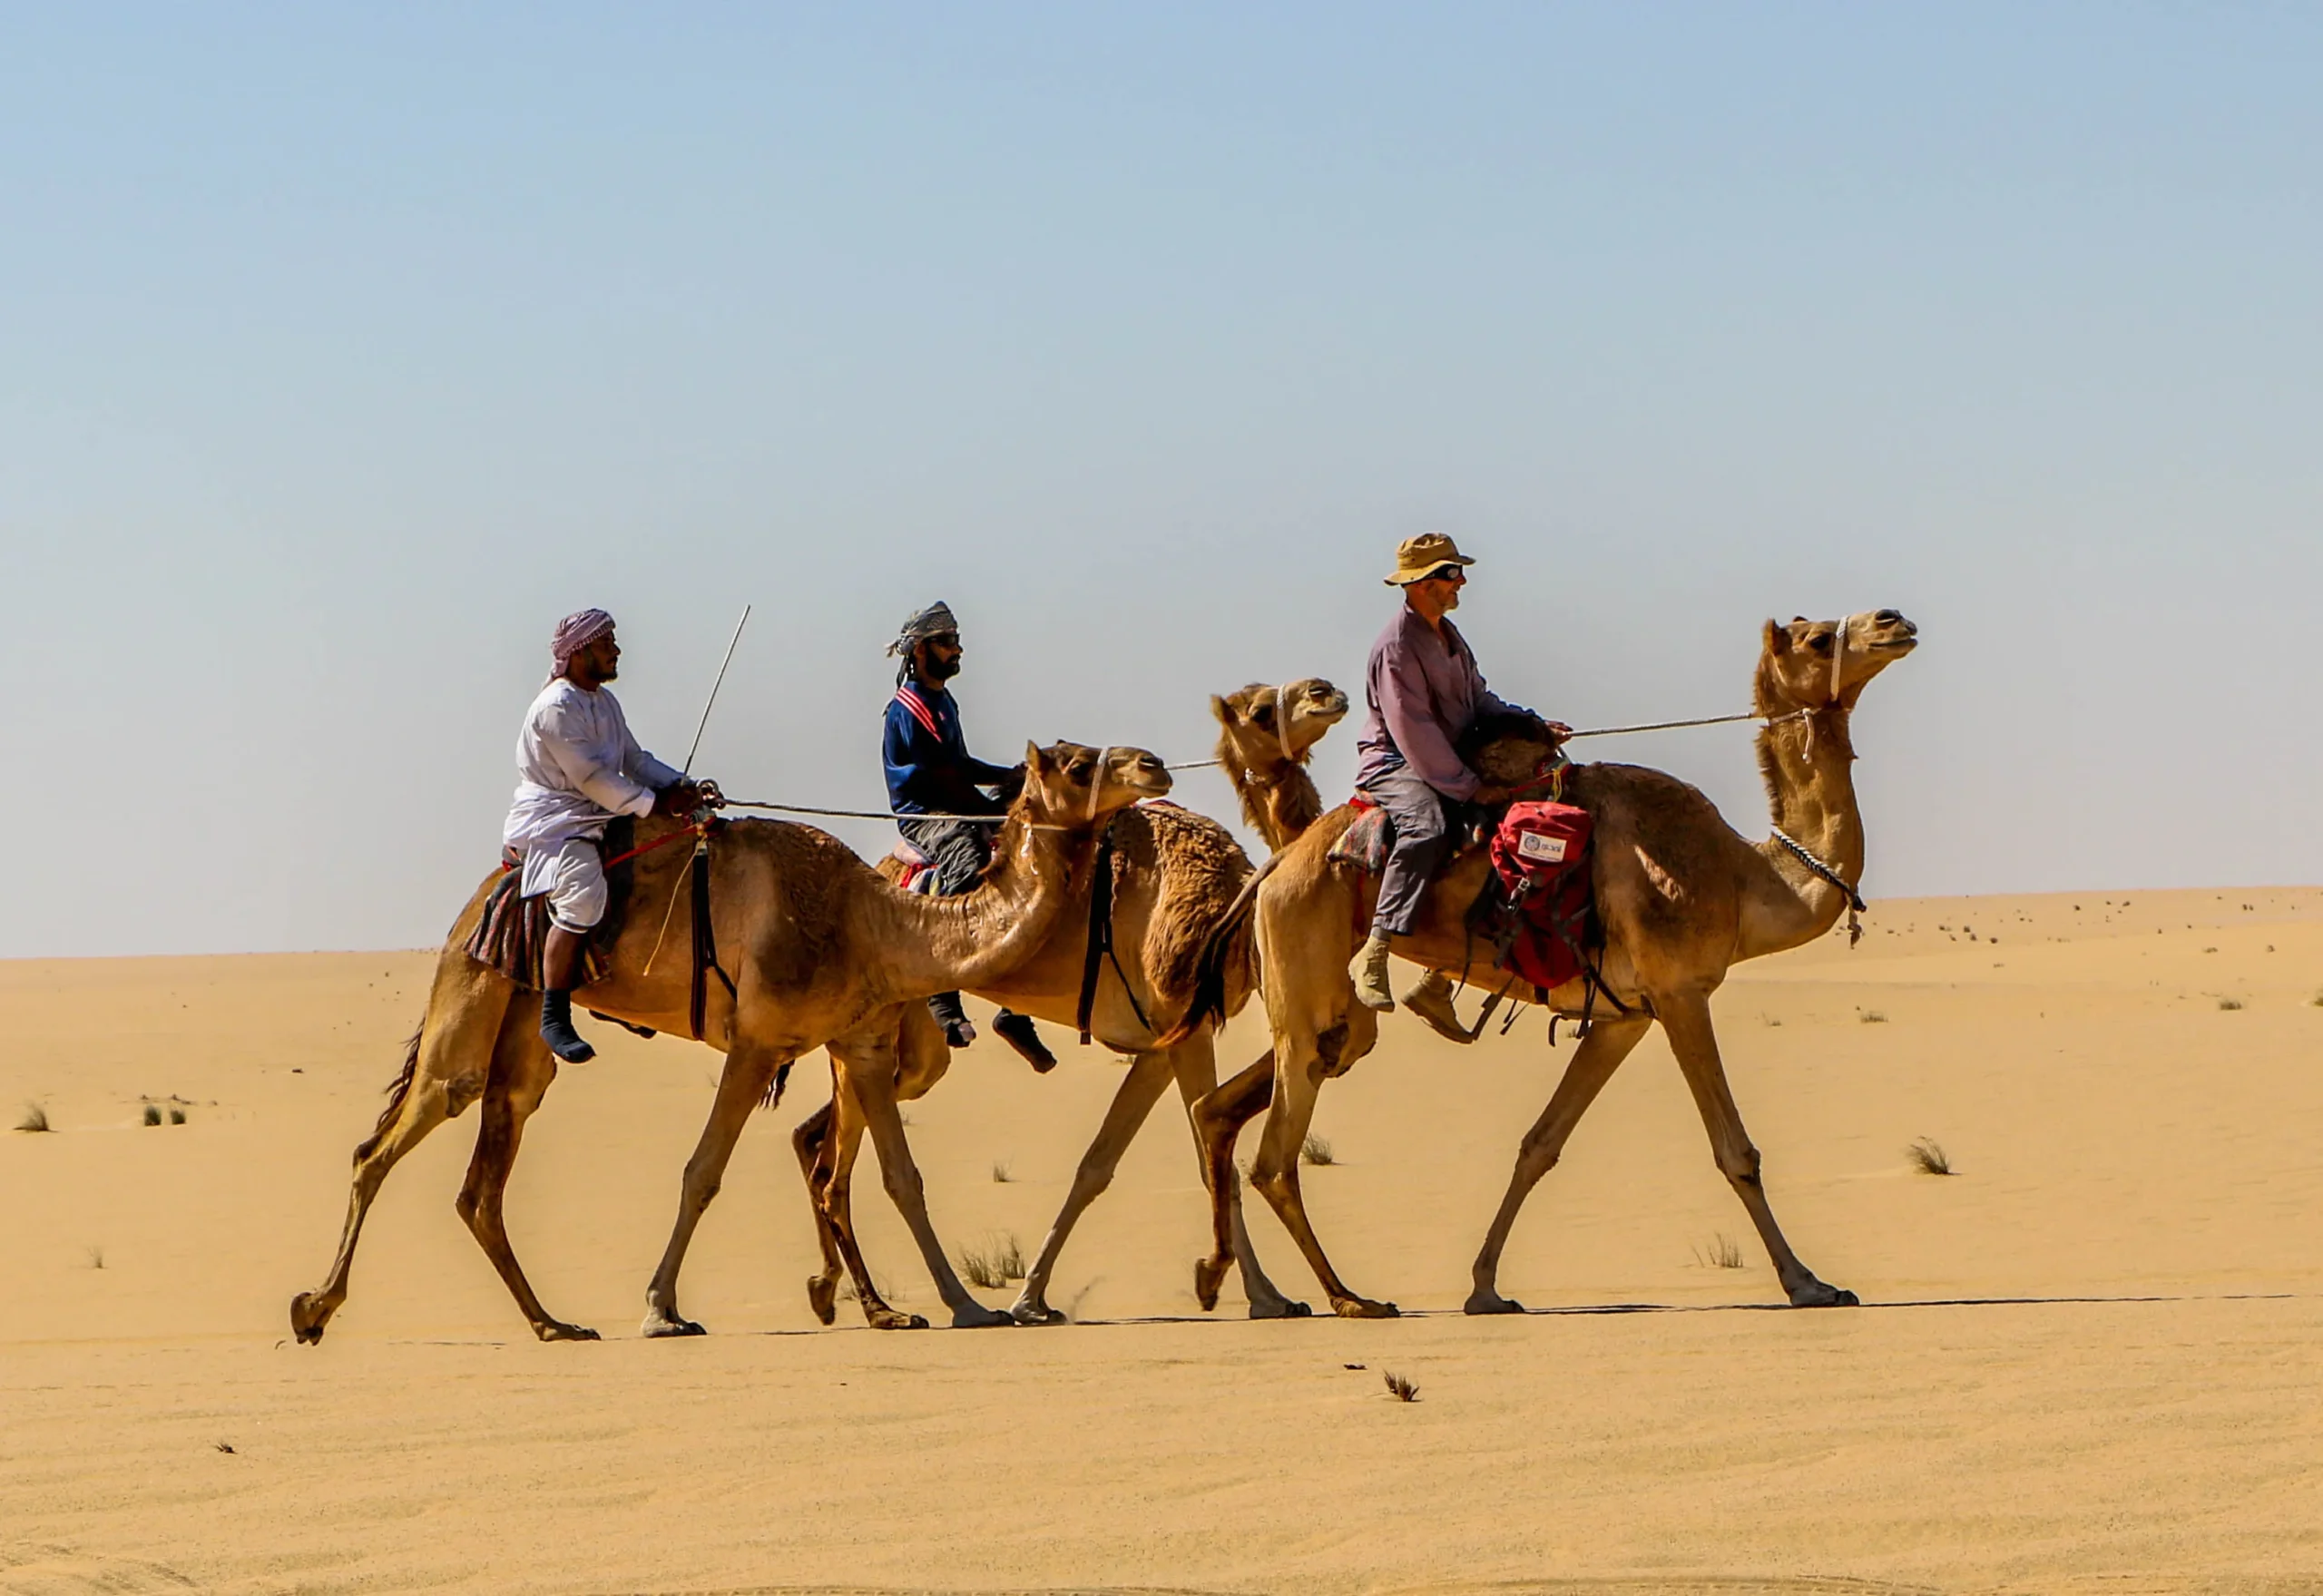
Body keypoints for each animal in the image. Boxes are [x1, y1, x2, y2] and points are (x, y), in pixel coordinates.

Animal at [285, 743, 1162, 1337]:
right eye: (1077, 761)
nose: (1153, 764)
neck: (875, 919)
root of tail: (488, 889)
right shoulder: (757, 1041)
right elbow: (702, 1173)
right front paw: (661, 1309)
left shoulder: (861, 1043)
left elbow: (902, 1178)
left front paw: (963, 1305)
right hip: (471, 989)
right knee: (394, 1136)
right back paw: (315, 1308)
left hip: (525, 1025)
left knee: (485, 1172)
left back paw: (553, 1323)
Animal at [789, 678, 1357, 1328]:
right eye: (1262, 710)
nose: (1328, 691)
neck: (1231, 917)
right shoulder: (1183, 1027)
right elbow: (1207, 1154)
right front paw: (1263, 1294)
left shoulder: (1159, 1043)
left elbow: (1100, 1164)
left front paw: (1033, 1297)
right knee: (843, 1160)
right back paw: (896, 1303)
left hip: (916, 1048)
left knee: (824, 1134)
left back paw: (831, 1290)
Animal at [1189, 603, 1914, 1319]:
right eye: (1816, 639)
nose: (1893, 620)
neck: (1739, 878)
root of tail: (1278, 866)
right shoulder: (1681, 992)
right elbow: (1736, 1150)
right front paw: (1811, 1284)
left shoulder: (1626, 1016)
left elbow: (1539, 1144)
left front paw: (1484, 1286)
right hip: (1304, 977)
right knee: (1274, 1156)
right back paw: (1345, 1298)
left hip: (1328, 1014)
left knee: (1227, 1114)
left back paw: (1244, 1284)